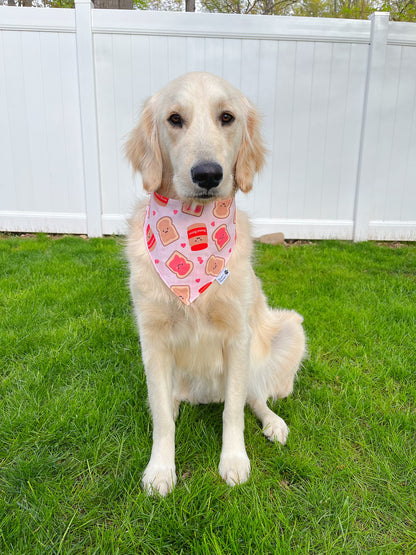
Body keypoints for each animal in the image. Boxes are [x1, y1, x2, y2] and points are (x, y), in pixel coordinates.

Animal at [125, 73, 304, 496]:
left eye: (227, 117)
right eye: (174, 119)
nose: (207, 174)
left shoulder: (237, 335)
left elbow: (234, 412)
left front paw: (234, 461)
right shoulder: (152, 338)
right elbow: (162, 419)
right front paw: (160, 469)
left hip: (285, 330)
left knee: (254, 398)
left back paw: (274, 423)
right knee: (169, 402)